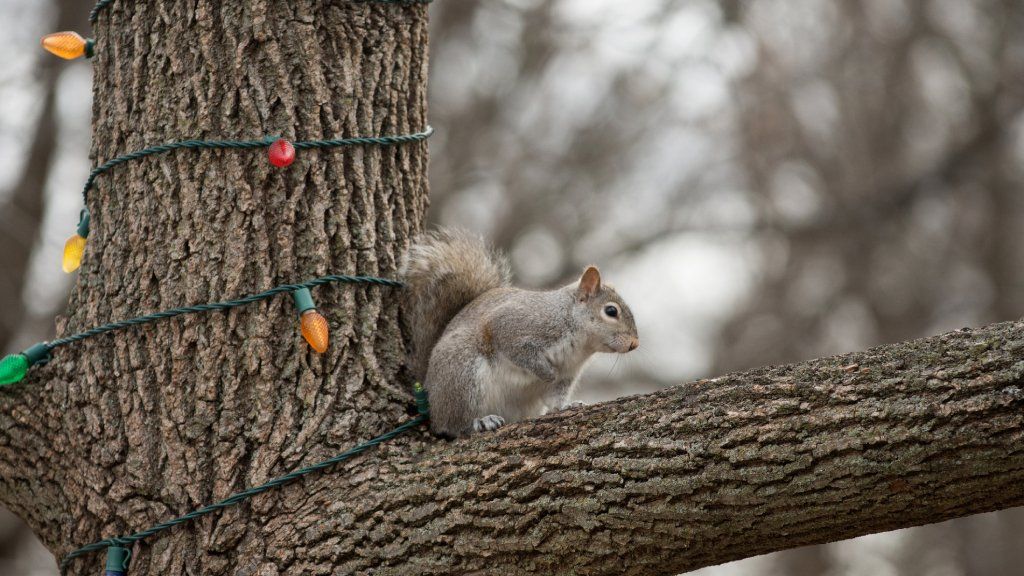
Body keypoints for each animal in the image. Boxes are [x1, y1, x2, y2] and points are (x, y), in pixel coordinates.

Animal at [401, 228, 634, 434]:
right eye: (611, 311)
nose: (634, 344)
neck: (580, 344)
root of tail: (430, 393)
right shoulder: (514, 327)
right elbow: (519, 352)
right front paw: (546, 372)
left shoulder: (568, 374)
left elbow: (555, 399)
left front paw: (567, 406)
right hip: (462, 376)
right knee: (452, 424)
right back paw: (480, 422)